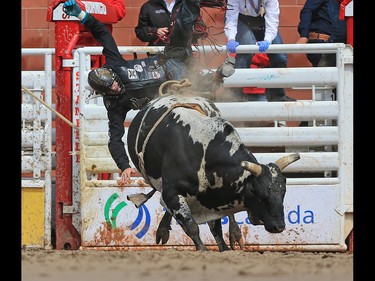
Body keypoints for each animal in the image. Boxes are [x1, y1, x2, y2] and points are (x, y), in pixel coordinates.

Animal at [128, 80, 302, 249]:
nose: (279, 226)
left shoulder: (213, 197)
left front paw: (224, 246)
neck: (202, 151)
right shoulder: (172, 193)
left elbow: (216, 228)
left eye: (283, 191)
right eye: (257, 192)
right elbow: (192, 227)